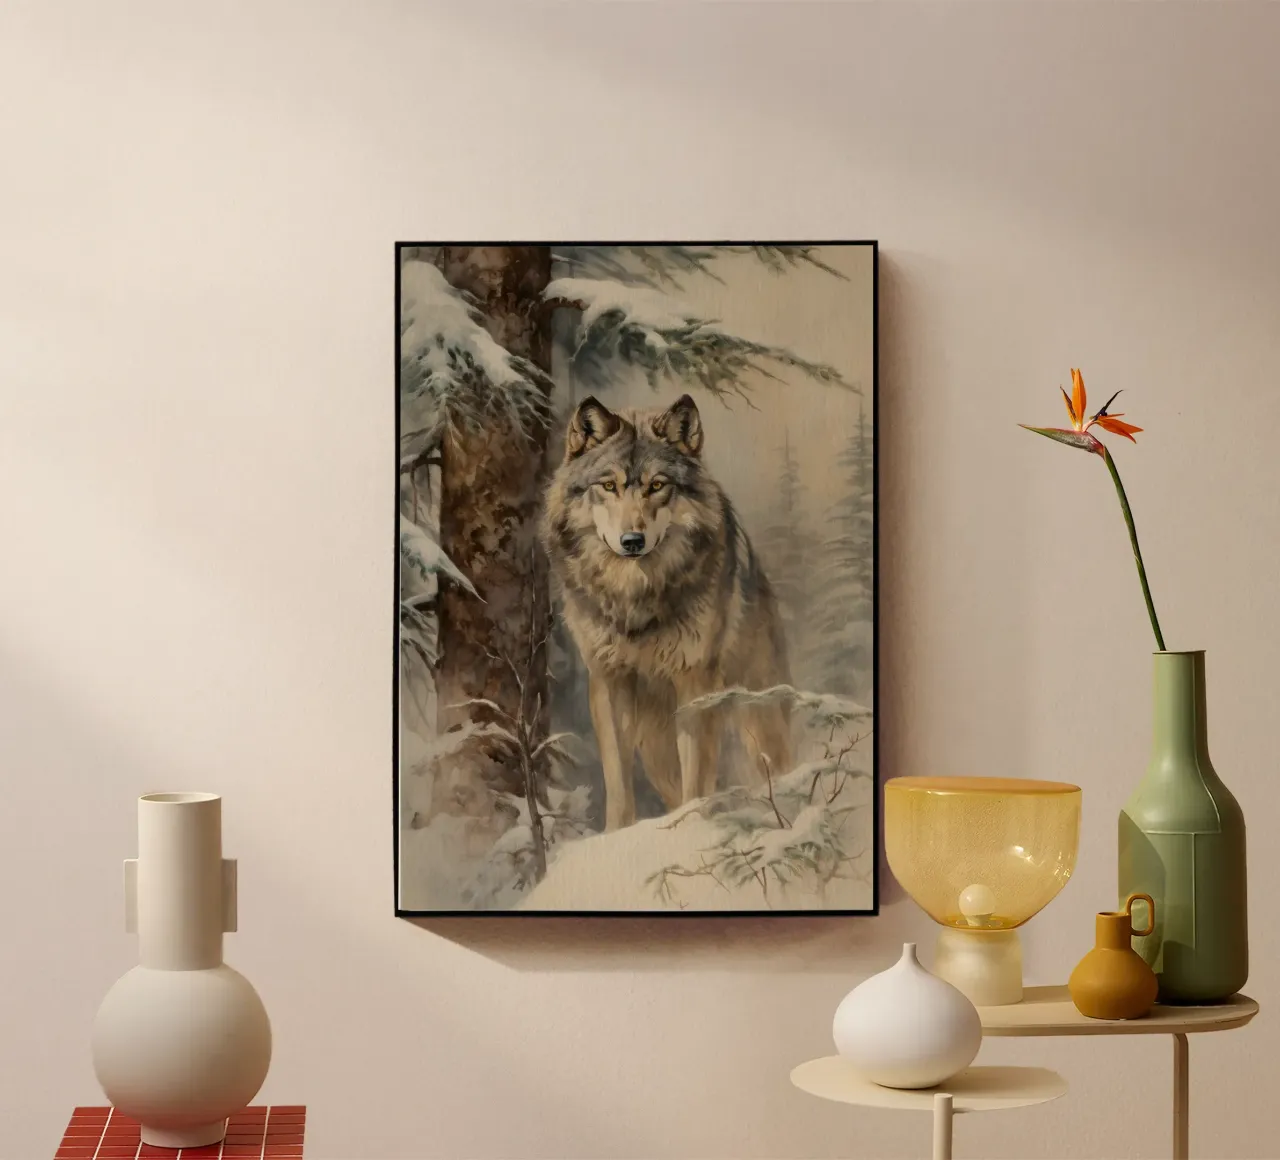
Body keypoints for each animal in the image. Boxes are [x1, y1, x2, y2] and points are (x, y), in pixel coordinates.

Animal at [541, 393, 792, 831]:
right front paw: (617, 836)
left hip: (759, 719)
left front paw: (693, 831)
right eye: (609, 486)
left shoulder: (695, 681)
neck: (636, 599)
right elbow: (618, 782)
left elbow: (698, 779)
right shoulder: (609, 681)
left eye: (657, 486)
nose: (632, 540)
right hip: (655, 748)